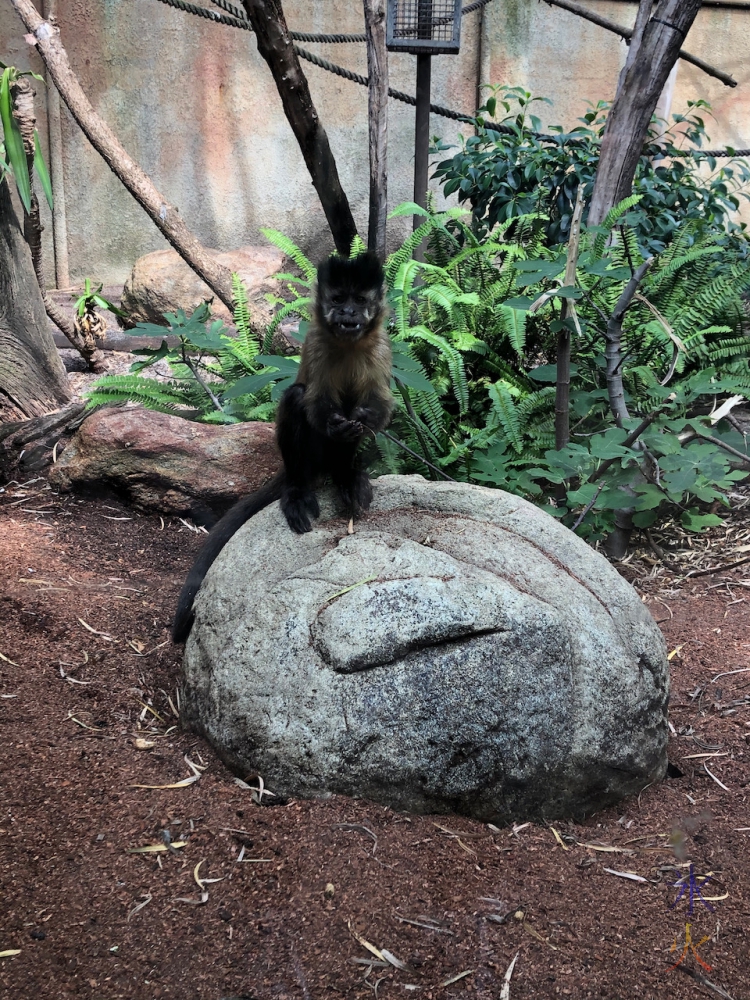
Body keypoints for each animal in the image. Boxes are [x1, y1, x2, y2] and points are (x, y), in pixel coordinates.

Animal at [171, 249, 394, 640]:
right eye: (339, 300)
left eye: (359, 302)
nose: (349, 315)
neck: (347, 344)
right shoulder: (317, 343)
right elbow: (314, 402)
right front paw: (335, 424)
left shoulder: (381, 346)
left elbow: (379, 407)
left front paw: (361, 422)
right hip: (305, 459)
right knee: (295, 398)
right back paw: (297, 490)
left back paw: (346, 474)